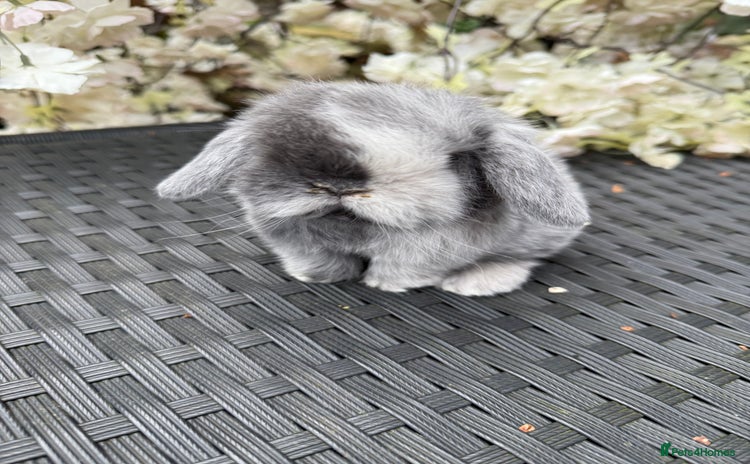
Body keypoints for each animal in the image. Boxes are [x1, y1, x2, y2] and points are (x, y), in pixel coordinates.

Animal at [156, 81, 590, 296]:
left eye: (455, 160)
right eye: (276, 148)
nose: (338, 186)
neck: (353, 231)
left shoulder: (426, 251)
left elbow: (403, 268)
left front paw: (386, 285)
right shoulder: (296, 242)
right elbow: (317, 261)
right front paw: (315, 279)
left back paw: (475, 284)